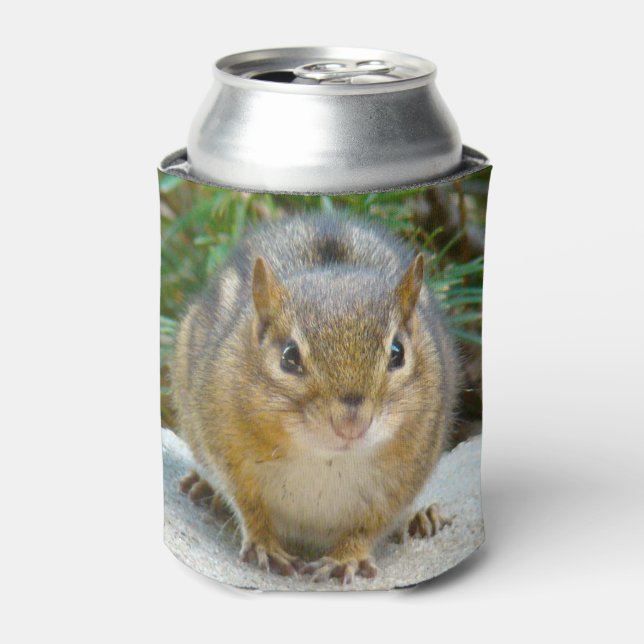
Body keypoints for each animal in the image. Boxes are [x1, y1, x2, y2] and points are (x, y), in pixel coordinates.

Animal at [171, 213, 459, 584]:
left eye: (398, 353)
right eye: (289, 357)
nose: (351, 424)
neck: (325, 459)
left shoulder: (408, 471)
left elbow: (372, 524)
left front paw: (345, 557)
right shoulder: (225, 445)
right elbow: (248, 504)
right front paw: (265, 544)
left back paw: (419, 519)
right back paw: (205, 488)